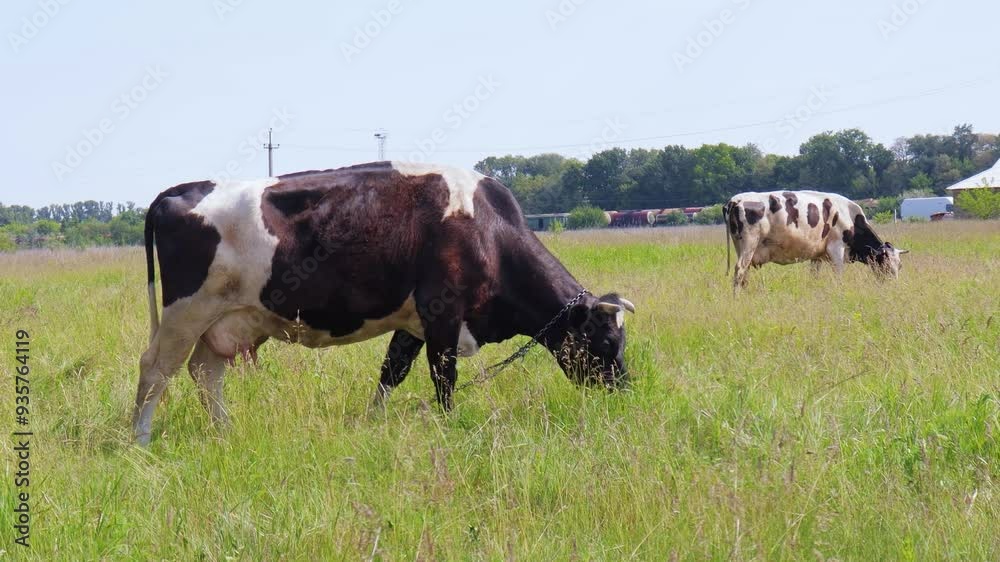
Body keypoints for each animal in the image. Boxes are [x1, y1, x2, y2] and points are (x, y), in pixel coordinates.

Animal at [134, 162, 635, 445]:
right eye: (607, 343)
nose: (625, 391)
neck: (488, 232)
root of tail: (180, 190)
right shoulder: (442, 316)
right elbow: (444, 379)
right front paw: (448, 427)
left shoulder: (412, 324)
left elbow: (392, 372)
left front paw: (372, 421)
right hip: (185, 314)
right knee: (156, 369)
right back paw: (141, 440)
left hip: (224, 322)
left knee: (204, 374)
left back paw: (225, 432)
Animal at [723, 190, 907, 290]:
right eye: (885, 263)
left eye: (899, 266)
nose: (894, 284)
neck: (850, 216)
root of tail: (735, 200)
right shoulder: (836, 249)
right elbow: (839, 275)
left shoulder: (816, 256)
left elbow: (814, 276)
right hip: (749, 243)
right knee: (739, 270)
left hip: (742, 247)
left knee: (744, 273)